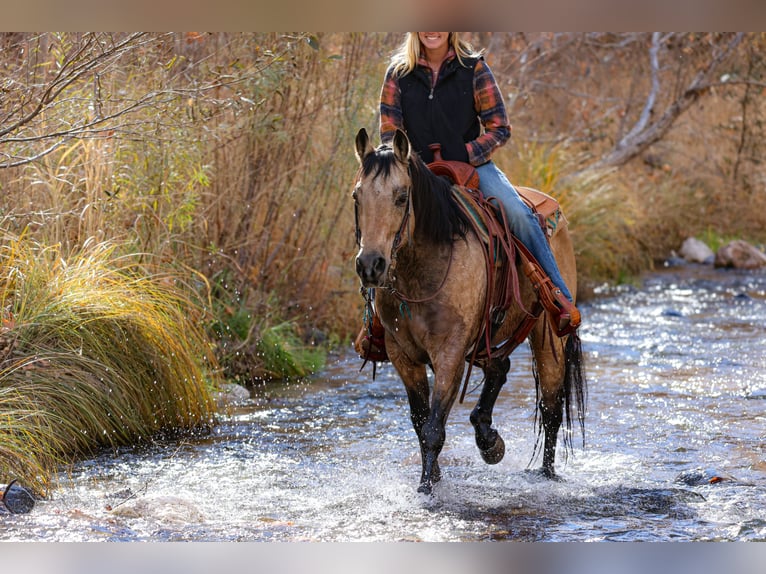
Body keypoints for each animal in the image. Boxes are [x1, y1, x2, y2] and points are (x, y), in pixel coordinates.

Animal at [354, 128, 588, 498]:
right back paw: (489, 440)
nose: (370, 265)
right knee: (500, 368)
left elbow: (434, 427)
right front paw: (435, 477)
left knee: (551, 406)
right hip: (488, 336)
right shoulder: (402, 354)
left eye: (402, 196)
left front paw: (426, 489)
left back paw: (546, 474)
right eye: (356, 196)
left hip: (549, 336)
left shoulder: (450, 353)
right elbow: (420, 422)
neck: (423, 269)